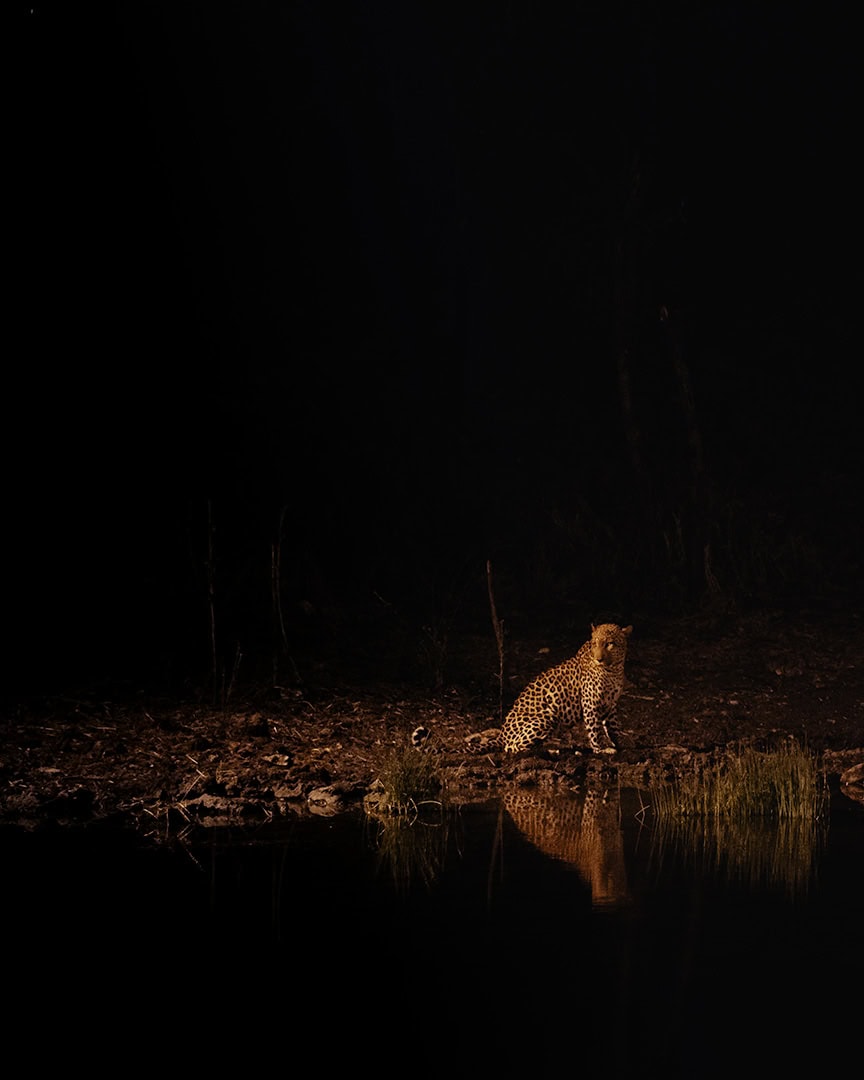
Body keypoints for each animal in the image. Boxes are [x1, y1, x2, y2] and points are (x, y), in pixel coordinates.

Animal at [463, 622, 632, 756]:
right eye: (595, 644)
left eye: (610, 644)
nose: (599, 659)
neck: (614, 669)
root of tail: (502, 734)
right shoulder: (590, 703)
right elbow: (594, 729)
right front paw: (600, 749)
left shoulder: (610, 703)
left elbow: (613, 726)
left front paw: (621, 744)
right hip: (548, 716)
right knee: (511, 747)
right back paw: (547, 751)